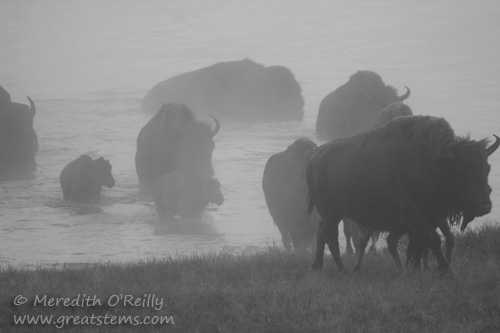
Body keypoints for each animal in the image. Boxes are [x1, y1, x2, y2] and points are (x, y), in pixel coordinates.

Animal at [306, 115, 498, 274]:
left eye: (487, 168)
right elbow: (433, 241)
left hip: (331, 213)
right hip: (331, 212)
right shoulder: (415, 218)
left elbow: (419, 246)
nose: (484, 206)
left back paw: (318, 266)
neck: (435, 161)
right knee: (331, 237)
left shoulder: (429, 219)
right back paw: (341, 269)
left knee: (322, 232)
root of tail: (314, 157)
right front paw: (445, 270)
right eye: (462, 170)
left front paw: (416, 270)